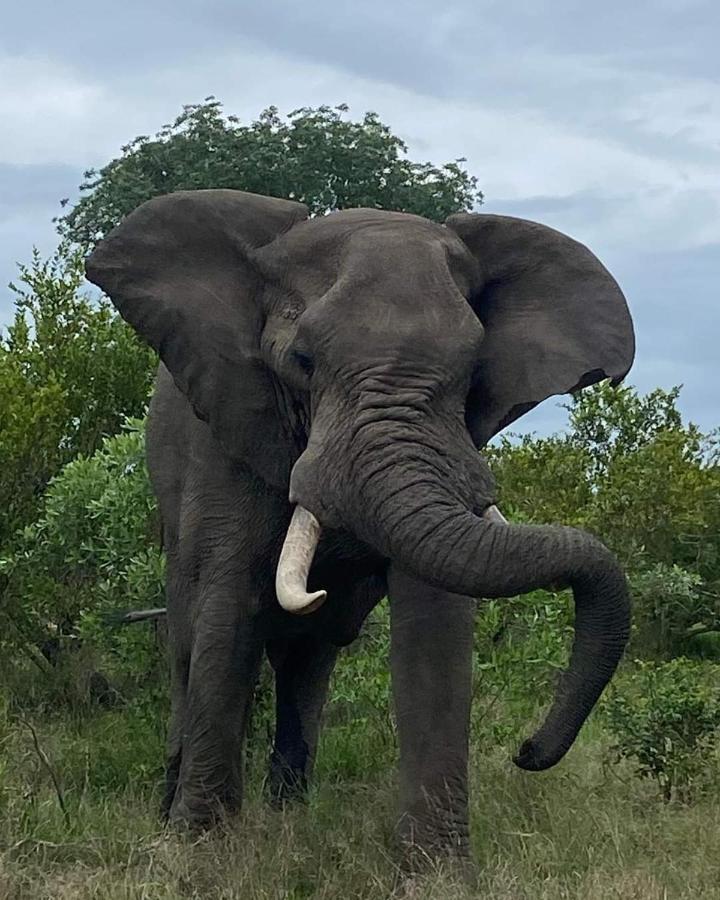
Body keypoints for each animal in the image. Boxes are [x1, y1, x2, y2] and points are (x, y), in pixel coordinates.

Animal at [86, 188, 636, 856]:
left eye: (473, 370)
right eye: (301, 360)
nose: (527, 750)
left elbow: (435, 624)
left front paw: (436, 870)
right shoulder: (229, 428)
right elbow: (227, 608)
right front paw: (197, 850)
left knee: (307, 659)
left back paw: (290, 815)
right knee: (191, 643)